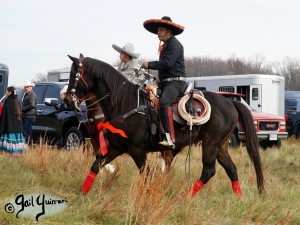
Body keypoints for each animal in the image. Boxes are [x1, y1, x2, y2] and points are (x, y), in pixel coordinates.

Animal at [64, 54, 264, 197]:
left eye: (74, 75)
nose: (66, 99)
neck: (124, 103)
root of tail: (231, 102)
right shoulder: (117, 147)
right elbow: (96, 165)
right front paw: (82, 193)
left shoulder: (137, 150)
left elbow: (146, 175)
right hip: (221, 146)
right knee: (231, 170)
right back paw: (238, 197)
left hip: (210, 144)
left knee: (209, 171)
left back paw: (186, 197)